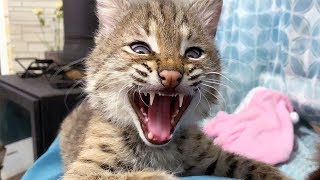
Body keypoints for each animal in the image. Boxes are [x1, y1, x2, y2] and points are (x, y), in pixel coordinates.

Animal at [59, 0, 288, 179]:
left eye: (194, 53)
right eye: (139, 49)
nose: (171, 76)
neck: (158, 148)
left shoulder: (213, 155)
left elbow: (249, 163)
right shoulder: (83, 171)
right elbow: (134, 176)